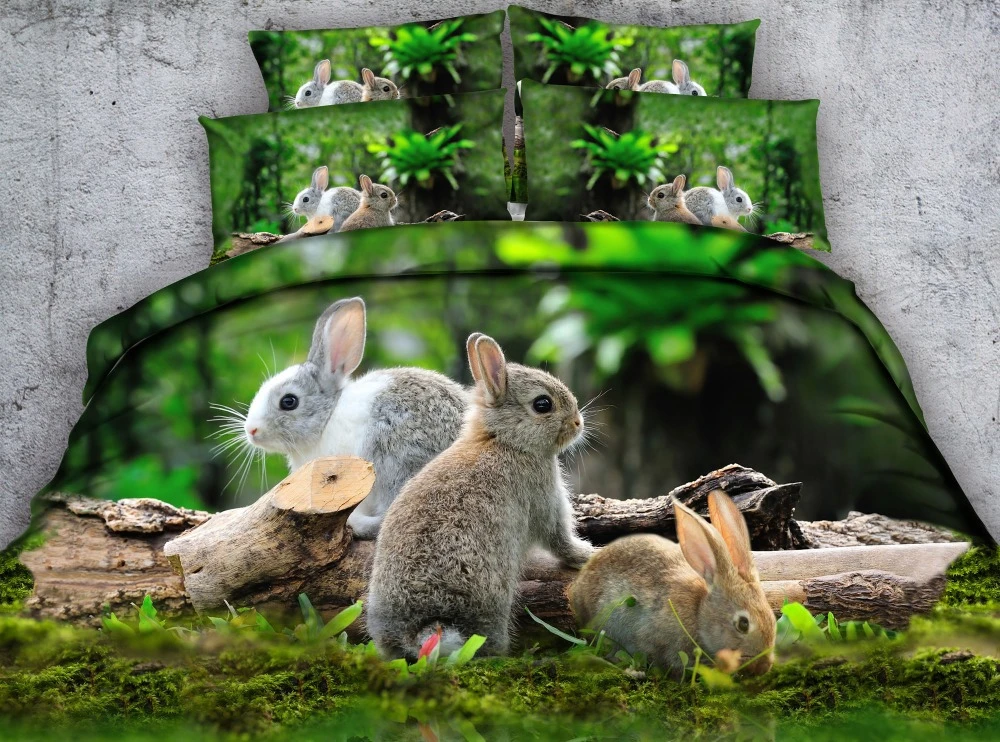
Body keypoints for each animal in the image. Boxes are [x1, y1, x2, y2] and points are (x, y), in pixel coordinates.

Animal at [366, 333, 596, 660]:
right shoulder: (544, 499)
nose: (578, 423)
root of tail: (423, 628)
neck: (504, 440)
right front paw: (588, 554)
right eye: (543, 404)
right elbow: (559, 540)